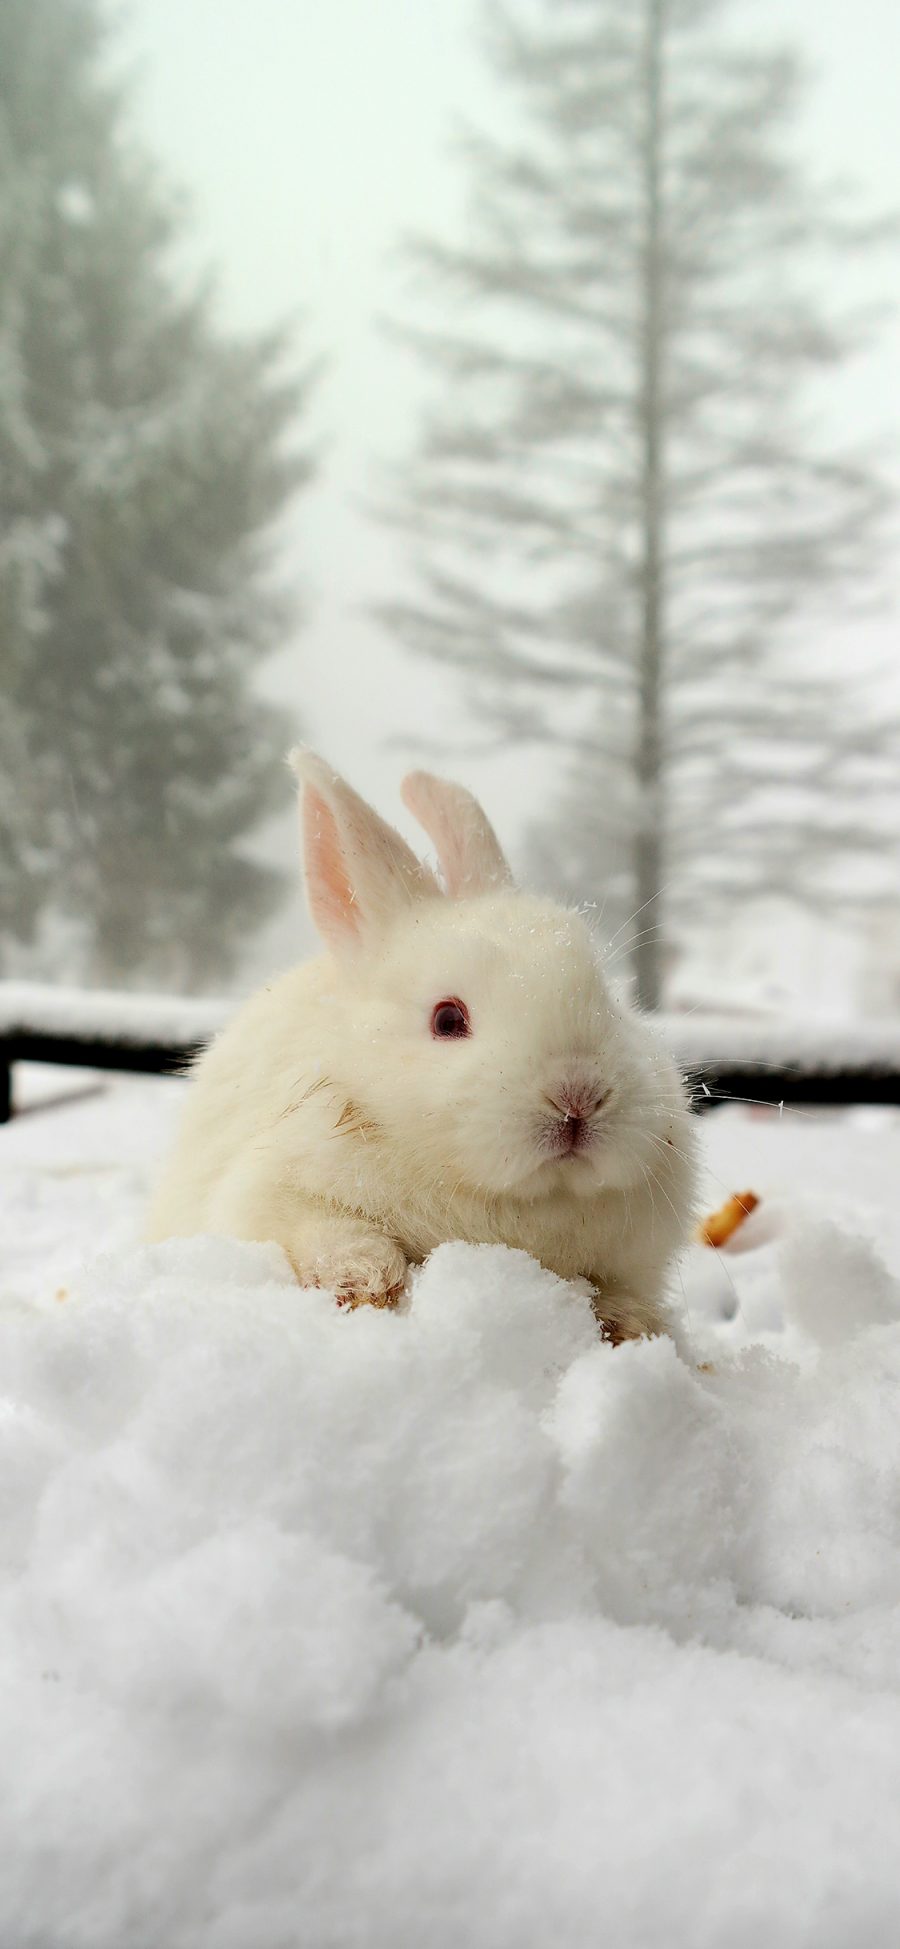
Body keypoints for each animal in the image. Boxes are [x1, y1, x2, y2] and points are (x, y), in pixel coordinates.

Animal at [146, 748, 697, 1340]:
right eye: (447, 1019)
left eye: (612, 1005)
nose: (578, 1098)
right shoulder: (271, 1192)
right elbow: (322, 1229)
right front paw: (367, 1279)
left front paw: (626, 1322)